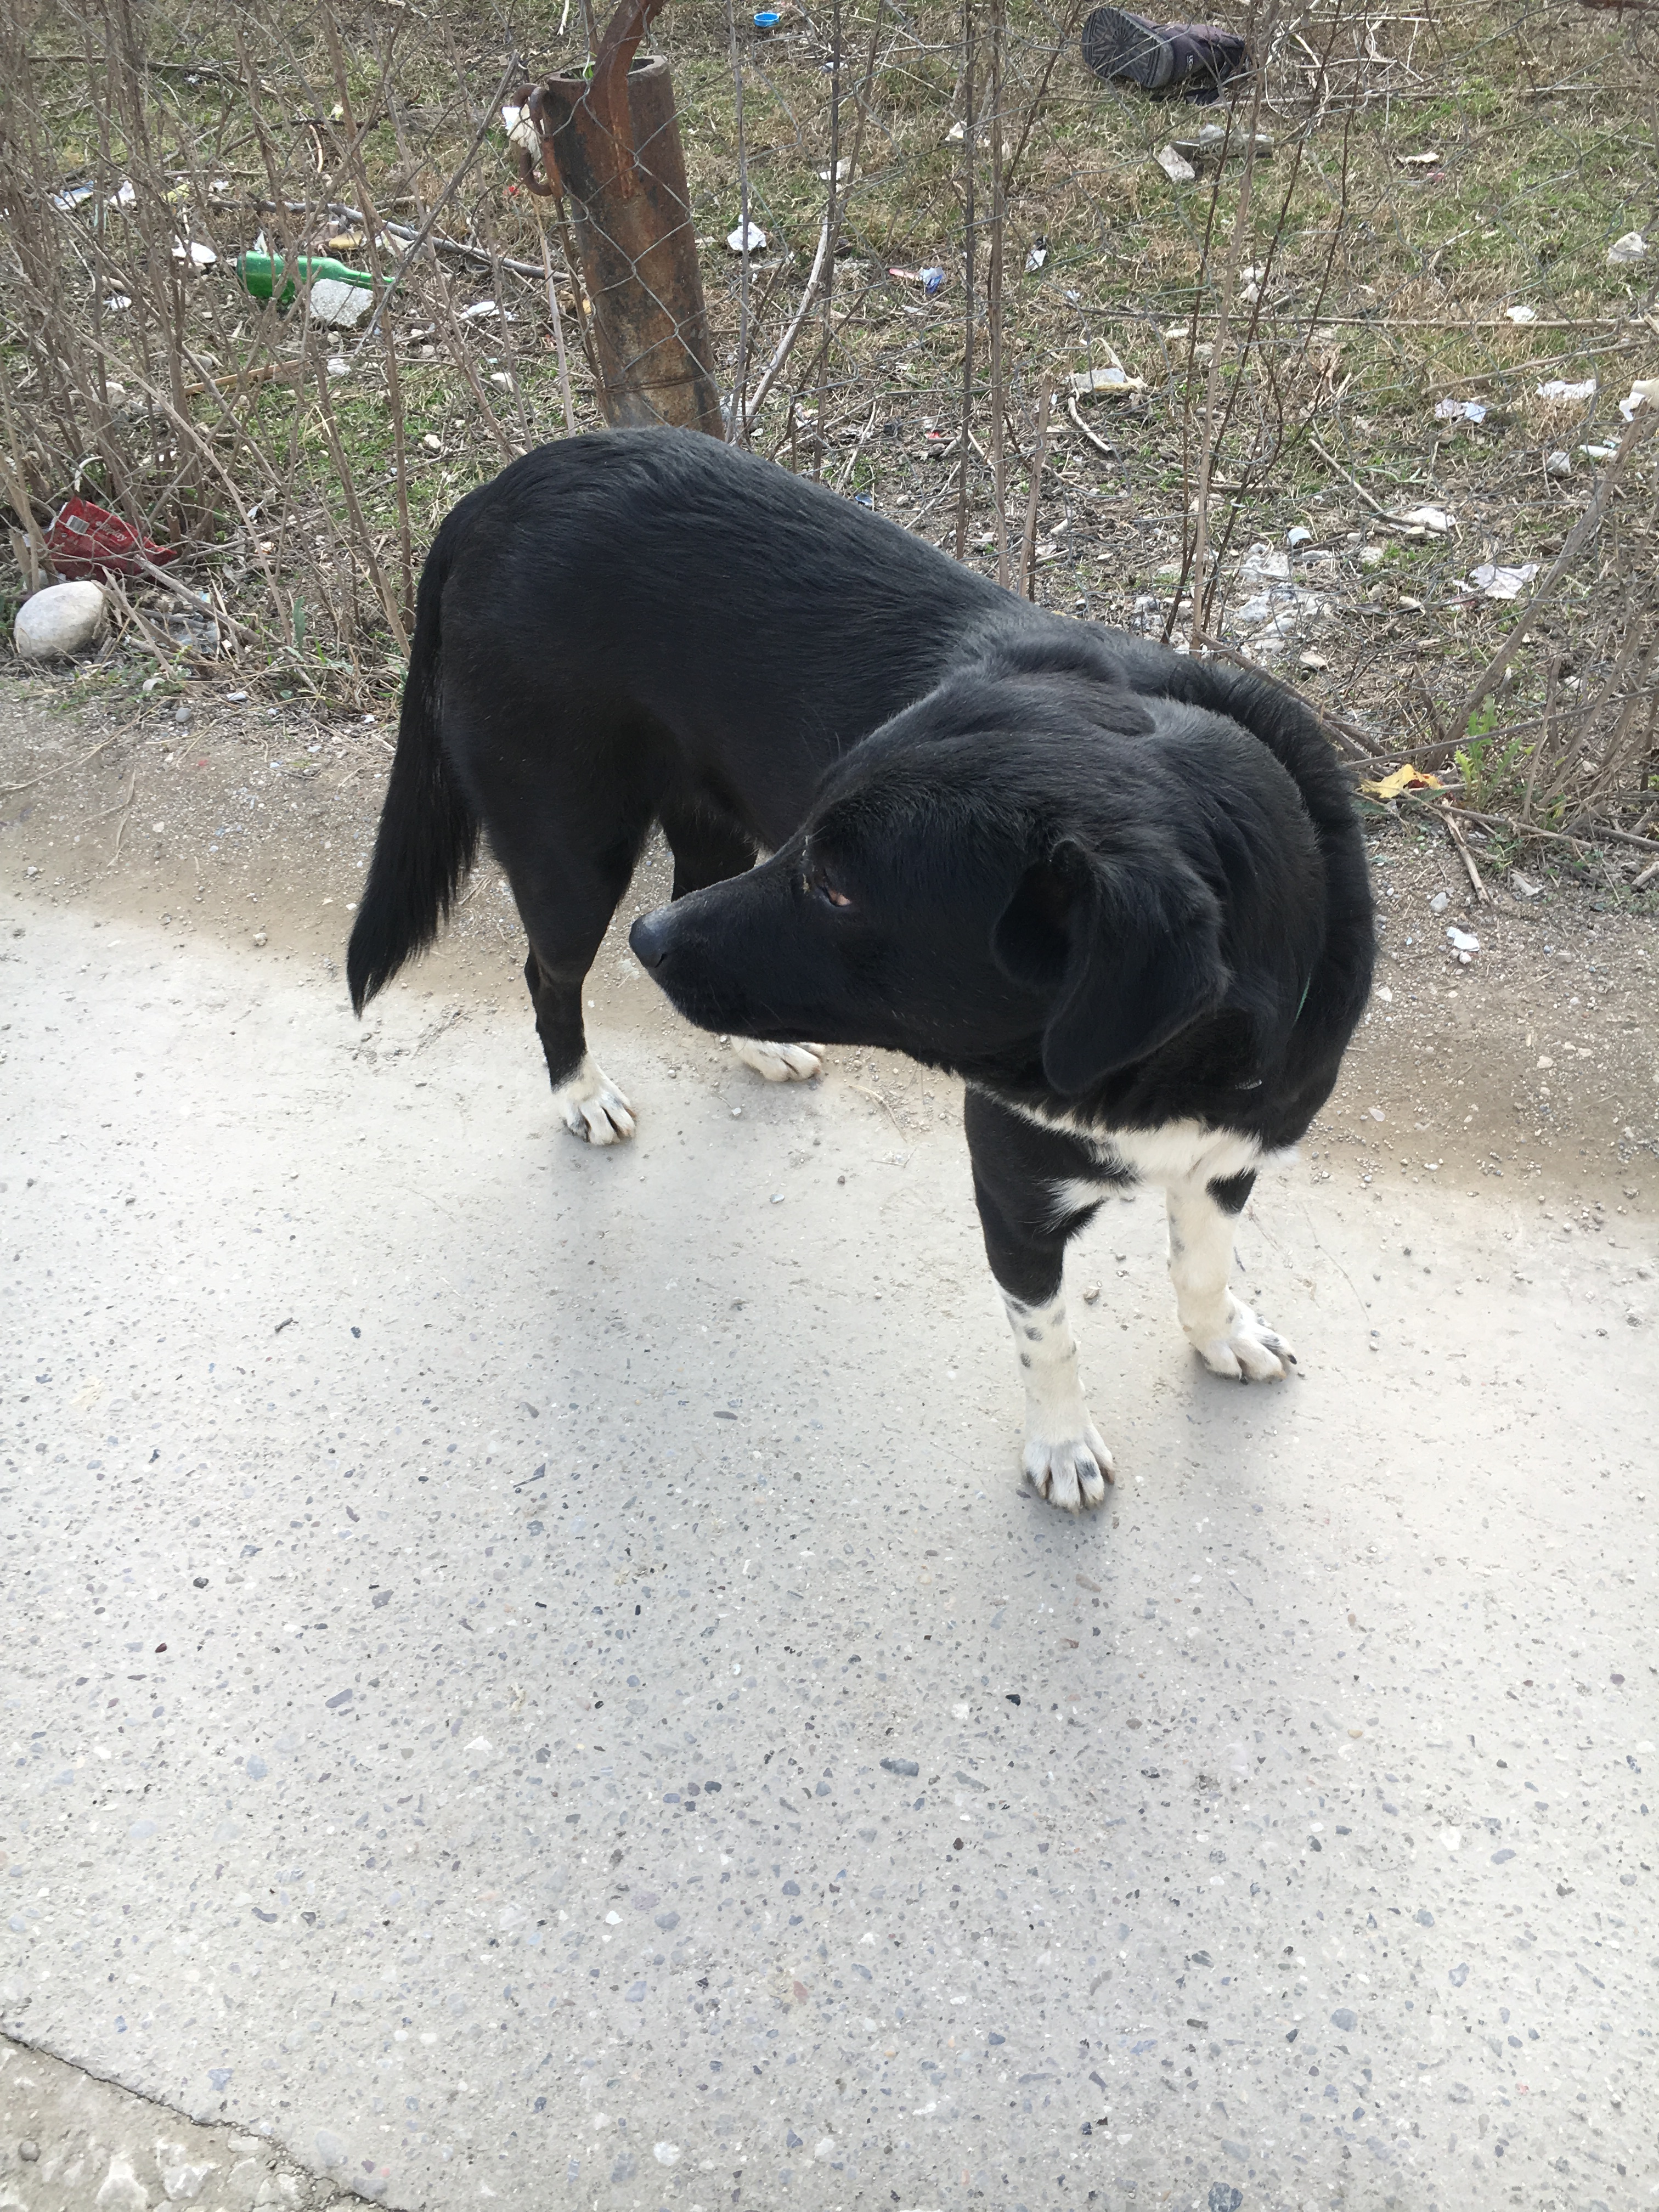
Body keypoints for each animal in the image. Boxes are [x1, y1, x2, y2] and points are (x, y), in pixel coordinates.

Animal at [348, 430, 1374, 1511]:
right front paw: (1061, 1446)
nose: (649, 944)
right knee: (549, 975)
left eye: (837, 889)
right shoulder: (1012, 1190)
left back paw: (740, 1033)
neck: (1176, 1066)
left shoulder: (1229, 1153)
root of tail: (506, 486)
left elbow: (1200, 1265)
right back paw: (582, 1092)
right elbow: (1048, 1339)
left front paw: (1220, 1335)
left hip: (703, 837)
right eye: (813, 837)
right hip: (569, 851)